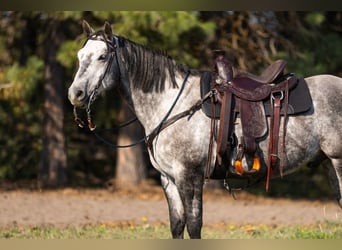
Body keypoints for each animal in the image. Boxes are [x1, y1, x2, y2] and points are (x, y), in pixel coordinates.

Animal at [67, 21, 342, 238]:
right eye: (80, 56)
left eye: (102, 57)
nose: (75, 94)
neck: (172, 102)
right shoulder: (168, 179)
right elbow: (177, 225)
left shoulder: (189, 176)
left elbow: (194, 225)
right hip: (328, 163)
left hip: (338, 161)